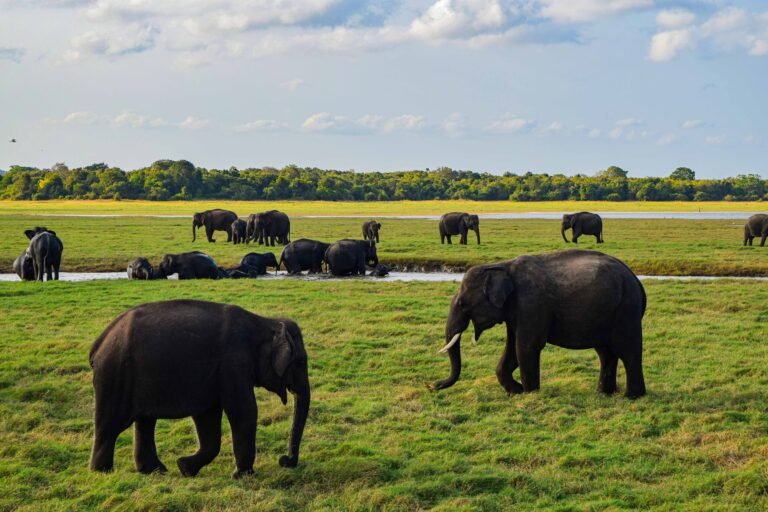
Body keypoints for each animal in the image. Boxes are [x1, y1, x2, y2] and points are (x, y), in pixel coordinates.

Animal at [89, 299, 310, 477]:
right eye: (300, 362)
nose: (284, 460)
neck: (265, 322)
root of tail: (99, 343)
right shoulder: (233, 364)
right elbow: (243, 410)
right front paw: (243, 475)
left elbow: (208, 416)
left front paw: (185, 468)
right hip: (116, 375)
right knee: (110, 425)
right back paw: (103, 472)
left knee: (145, 421)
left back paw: (155, 471)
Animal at [435, 249, 646, 398]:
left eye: (463, 304)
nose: (434, 385)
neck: (501, 266)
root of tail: (636, 281)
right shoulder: (516, 311)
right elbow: (512, 349)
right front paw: (516, 391)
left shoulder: (531, 304)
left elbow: (526, 347)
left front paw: (530, 393)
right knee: (606, 353)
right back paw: (603, 393)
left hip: (626, 310)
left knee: (628, 351)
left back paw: (632, 397)